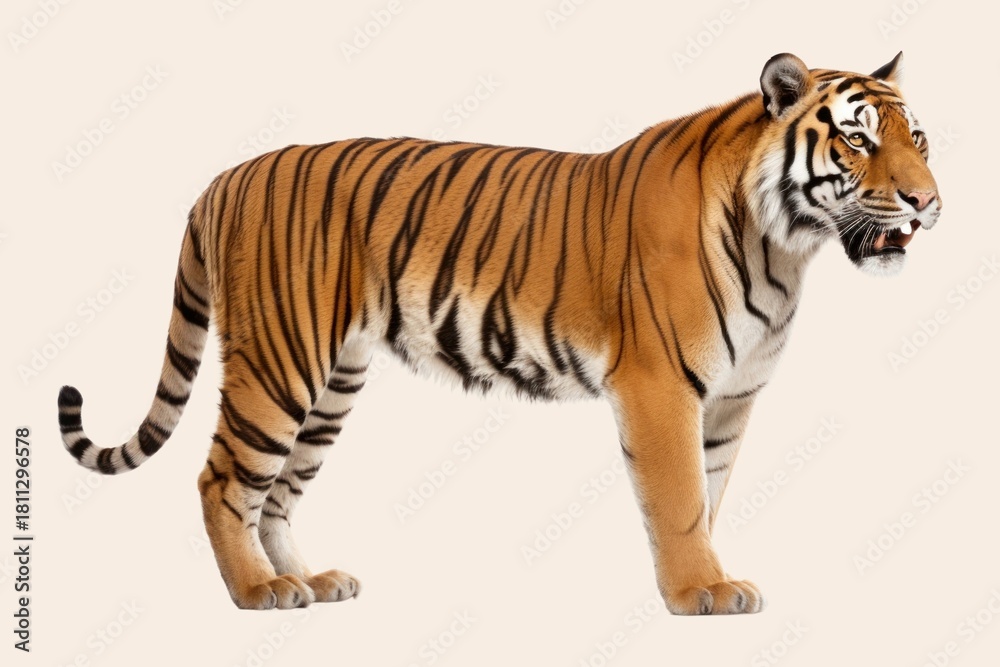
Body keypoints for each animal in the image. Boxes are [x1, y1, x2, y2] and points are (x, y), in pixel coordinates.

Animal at [57, 52, 941, 615]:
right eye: (858, 138)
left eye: (918, 137)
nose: (929, 202)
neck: (783, 247)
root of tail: (221, 178)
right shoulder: (660, 386)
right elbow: (682, 496)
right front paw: (700, 591)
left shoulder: (730, 397)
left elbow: (710, 489)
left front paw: (709, 577)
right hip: (279, 364)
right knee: (222, 481)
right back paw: (258, 592)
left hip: (333, 381)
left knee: (274, 491)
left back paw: (311, 581)